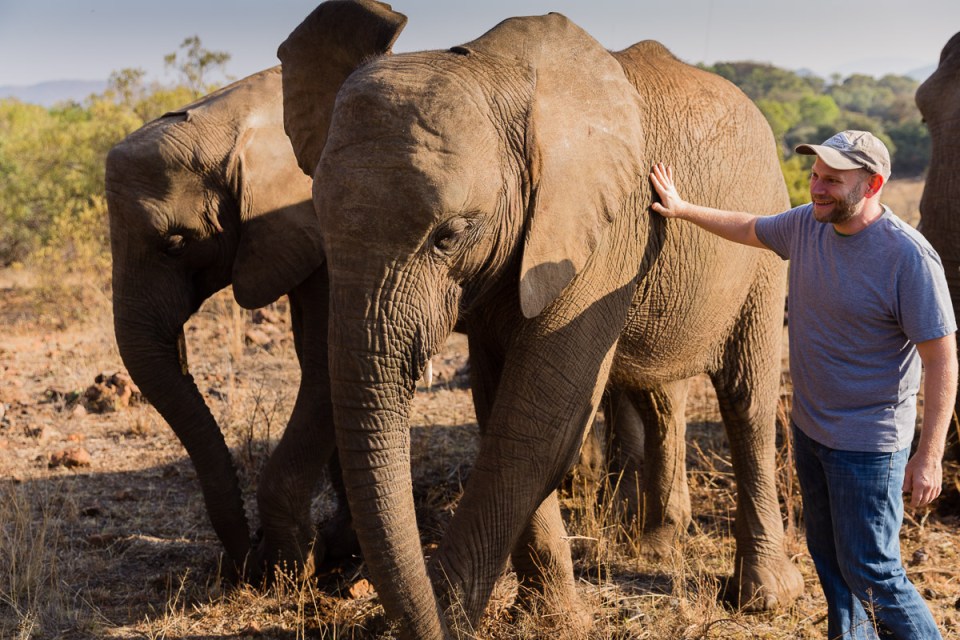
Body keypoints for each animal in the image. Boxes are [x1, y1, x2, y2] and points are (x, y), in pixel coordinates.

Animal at [278, 2, 804, 637]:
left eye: (450, 235)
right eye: (321, 224)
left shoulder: (603, 232)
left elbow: (538, 422)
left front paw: (454, 610)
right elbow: (499, 404)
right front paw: (545, 615)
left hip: (765, 236)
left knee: (746, 398)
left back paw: (763, 597)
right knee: (659, 392)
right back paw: (656, 548)